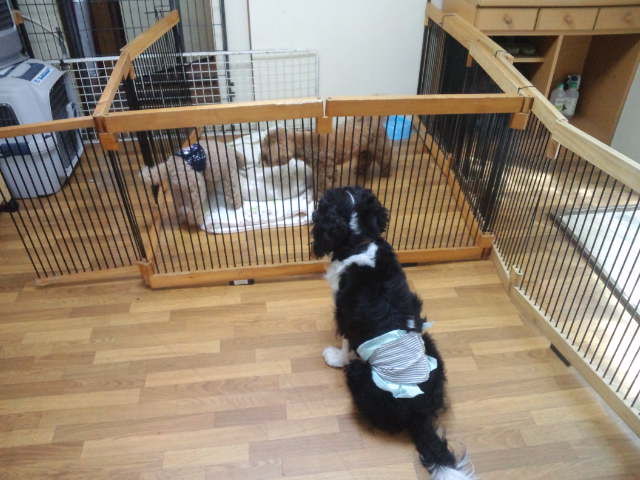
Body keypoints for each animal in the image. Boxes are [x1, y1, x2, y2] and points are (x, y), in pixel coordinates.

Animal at [260, 118, 392, 198]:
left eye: (265, 156)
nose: (260, 162)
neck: (306, 144)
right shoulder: (324, 168)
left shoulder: (324, 168)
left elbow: (322, 184)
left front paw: (318, 197)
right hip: (364, 149)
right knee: (365, 159)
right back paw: (359, 171)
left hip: (379, 146)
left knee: (385, 158)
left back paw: (386, 173)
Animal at [312, 186, 475, 480]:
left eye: (328, 198)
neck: (360, 239)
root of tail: (418, 414)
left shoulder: (345, 315)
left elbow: (345, 344)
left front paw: (333, 356)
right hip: (430, 343)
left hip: (360, 375)